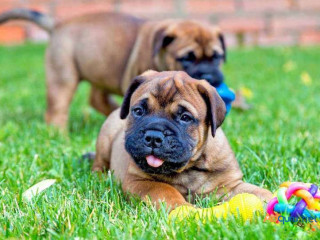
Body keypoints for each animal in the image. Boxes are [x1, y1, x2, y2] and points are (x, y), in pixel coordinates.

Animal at [1, 8, 229, 129]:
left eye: (217, 57)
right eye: (187, 59)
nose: (210, 76)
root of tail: (58, 25)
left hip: (100, 70)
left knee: (97, 99)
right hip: (62, 77)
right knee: (57, 110)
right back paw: (60, 134)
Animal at [92, 70, 270, 209]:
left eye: (185, 117)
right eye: (138, 111)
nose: (153, 137)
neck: (190, 167)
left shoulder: (229, 185)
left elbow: (256, 191)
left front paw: (271, 201)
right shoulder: (139, 181)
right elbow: (165, 190)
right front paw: (184, 209)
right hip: (106, 136)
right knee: (98, 164)